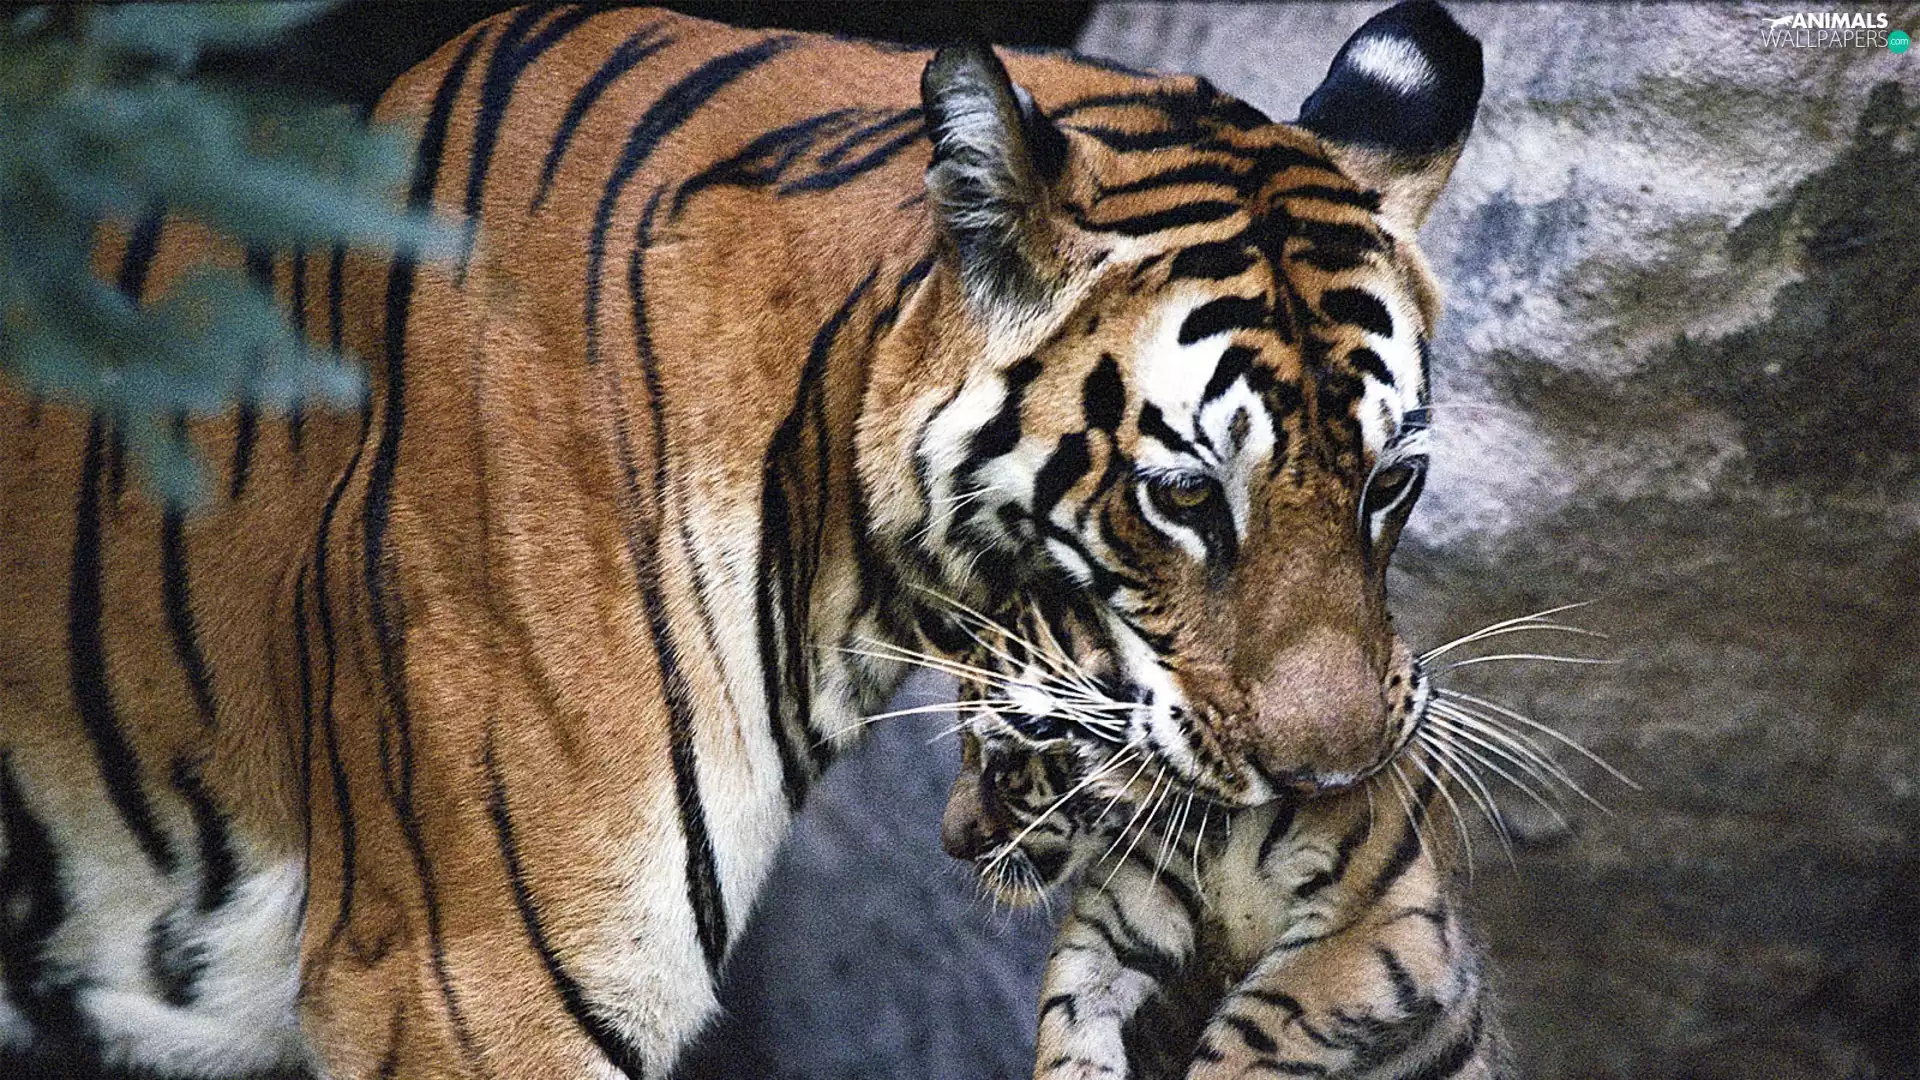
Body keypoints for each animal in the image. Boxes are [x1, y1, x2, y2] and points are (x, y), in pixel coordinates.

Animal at [941, 724, 1500, 1080]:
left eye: (1007, 766)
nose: (951, 844)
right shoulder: (1129, 905)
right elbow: (1071, 1001)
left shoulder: (1375, 917)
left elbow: (1258, 1022)